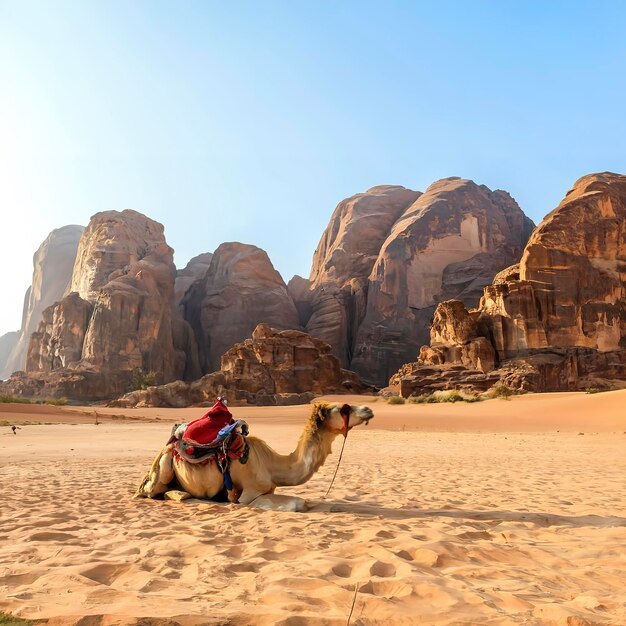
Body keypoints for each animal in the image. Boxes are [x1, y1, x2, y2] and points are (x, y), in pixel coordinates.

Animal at [135, 402, 370, 510]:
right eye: (342, 408)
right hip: (164, 465)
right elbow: (297, 503)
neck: (272, 467)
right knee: (153, 492)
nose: (368, 409)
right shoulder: (249, 494)